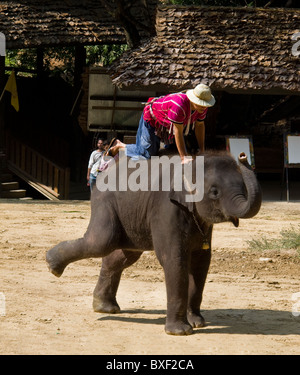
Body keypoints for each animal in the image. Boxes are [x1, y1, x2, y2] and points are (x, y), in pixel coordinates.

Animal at [45, 151, 262, 336]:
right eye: (215, 192)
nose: (243, 156)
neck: (191, 164)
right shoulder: (166, 209)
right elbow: (174, 259)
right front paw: (180, 332)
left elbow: (201, 262)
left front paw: (198, 323)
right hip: (104, 203)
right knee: (102, 242)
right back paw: (52, 265)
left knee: (122, 256)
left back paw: (105, 308)